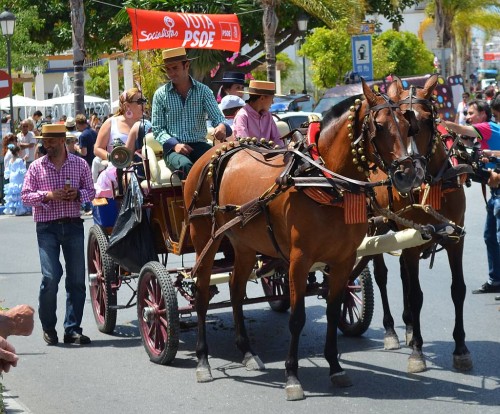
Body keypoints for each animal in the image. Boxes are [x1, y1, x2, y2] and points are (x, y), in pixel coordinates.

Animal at [184, 79, 426, 400]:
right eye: (380, 126)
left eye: (408, 125)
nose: (408, 175)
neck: (325, 180)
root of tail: (214, 152)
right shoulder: (299, 260)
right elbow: (296, 318)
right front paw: (292, 376)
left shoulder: (344, 258)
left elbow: (334, 310)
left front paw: (335, 367)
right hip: (204, 240)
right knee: (200, 292)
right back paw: (202, 360)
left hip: (244, 244)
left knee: (236, 289)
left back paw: (247, 352)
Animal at [364, 73, 472, 372]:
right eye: (402, 123)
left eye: (425, 120)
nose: (411, 173)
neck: (430, 186)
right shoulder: (412, 241)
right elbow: (416, 295)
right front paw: (417, 352)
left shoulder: (454, 237)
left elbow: (458, 290)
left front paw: (461, 348)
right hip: (375, 225)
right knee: (382, 275)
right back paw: (392, 330)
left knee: (403, 274)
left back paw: (410, 327)